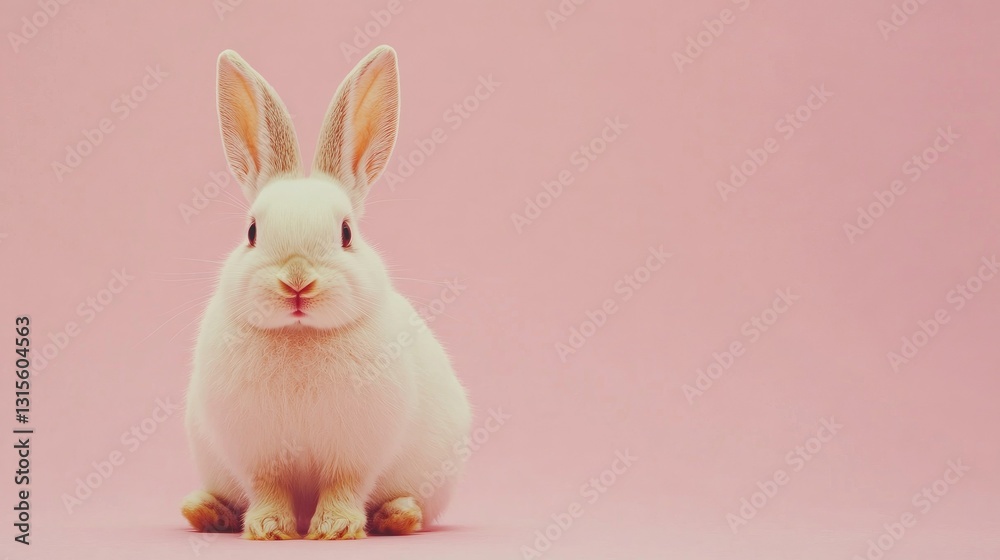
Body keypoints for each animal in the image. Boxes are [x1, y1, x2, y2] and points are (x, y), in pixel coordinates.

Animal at [180, 45, 472, 540]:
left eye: (347, 233)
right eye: (252, 232)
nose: (297, 281)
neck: (300, 334)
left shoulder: (355, 454)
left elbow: (343, 486)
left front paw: (334, 528)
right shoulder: (258, 456)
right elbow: (269, 488)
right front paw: (270, 528)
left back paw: (397, 515)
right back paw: (204, 511)